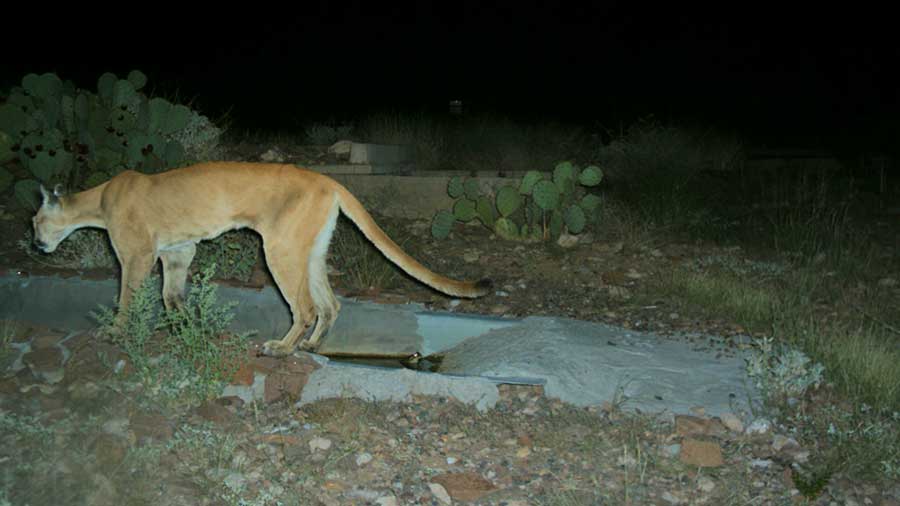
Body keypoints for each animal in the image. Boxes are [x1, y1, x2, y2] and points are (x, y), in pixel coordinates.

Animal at [31, 162, 492, 356]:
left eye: (35, 220)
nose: (34, 244)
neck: (98, 199)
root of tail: (329, 179)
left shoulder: (137, 255)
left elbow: (127, 298)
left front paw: (114, 332)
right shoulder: (178, 252)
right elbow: (171, 297)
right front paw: (187, 329)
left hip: (281, 250)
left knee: (306, 308)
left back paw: (283, 348)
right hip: (309, 251)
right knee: (330, 304)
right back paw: (311, 345)